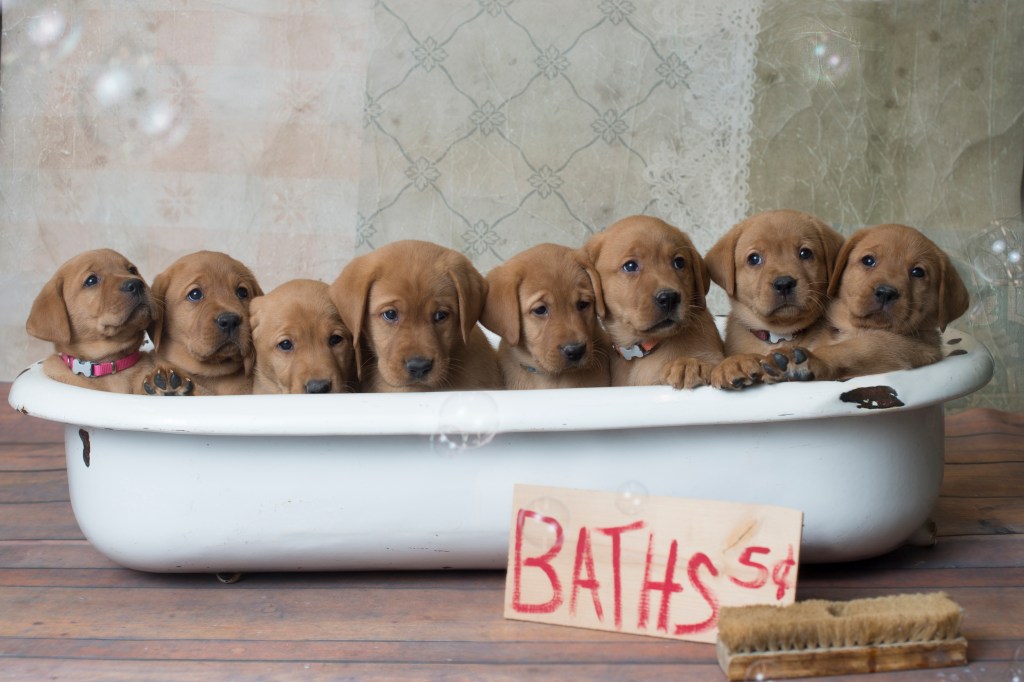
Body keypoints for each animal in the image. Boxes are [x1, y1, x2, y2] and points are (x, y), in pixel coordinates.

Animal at [757, 223, 970, 383]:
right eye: (868, 260)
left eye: (918, 272)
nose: (886, 293)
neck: (853, 329)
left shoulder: (899, 348)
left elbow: (850, 350)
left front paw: (808, 360)